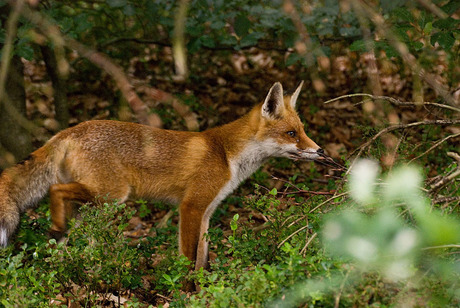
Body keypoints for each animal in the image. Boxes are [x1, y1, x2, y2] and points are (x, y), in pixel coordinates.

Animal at [0, 82, 322, 270]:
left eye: (302, 130)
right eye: (291, 134)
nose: (319, 151)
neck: (226, 154)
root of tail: (69, 130)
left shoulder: (207, 212)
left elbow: (202, 259)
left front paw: (202, 290)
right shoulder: (191, 207)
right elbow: (188, 259)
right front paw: (186, 291)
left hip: (95, 206)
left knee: (71, 230)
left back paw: (66, 257)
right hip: (112, 195)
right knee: (56, 190)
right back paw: (56, 231)